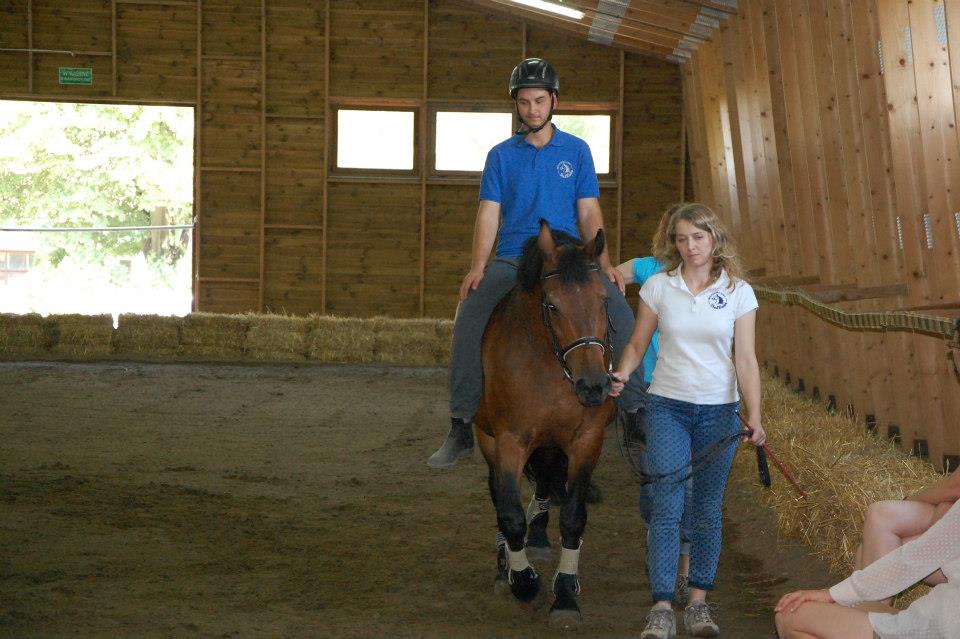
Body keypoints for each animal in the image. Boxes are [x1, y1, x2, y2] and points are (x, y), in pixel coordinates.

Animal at [473, 221, 616, 628]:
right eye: (552, 305)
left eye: (603, 299)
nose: (594, 386)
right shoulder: (510, 441)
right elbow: (509, 513)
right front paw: (523, 581)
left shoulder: (586, 441)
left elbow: (573, 516)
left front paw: (566, 594)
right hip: (487, 438)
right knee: (499, 495)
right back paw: (506, 563)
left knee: (546, 482)